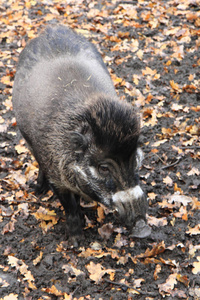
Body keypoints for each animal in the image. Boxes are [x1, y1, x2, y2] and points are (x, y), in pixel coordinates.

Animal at [12, 25, 151, 246]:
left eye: (135, 158)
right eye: (103, 168)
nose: (143, 228)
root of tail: (52, 28)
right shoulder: (57, 177)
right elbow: (69, 206)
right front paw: (75, 242)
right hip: (27, 137)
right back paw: (39, 190)